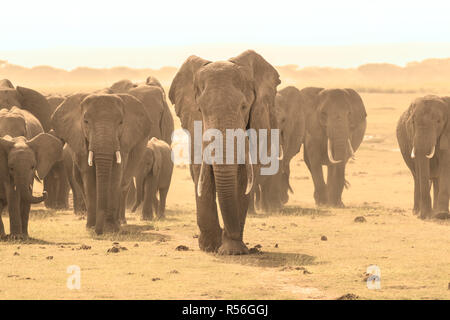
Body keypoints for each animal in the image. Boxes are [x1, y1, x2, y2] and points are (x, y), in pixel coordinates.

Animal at [0, 107, 63, 238]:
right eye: (11, 168)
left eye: (33, 167)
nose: (44, 192)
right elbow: (12, 192)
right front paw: (16, 237)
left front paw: (20, 237)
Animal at [50, 94, 149, 234]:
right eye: (86, 121)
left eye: (121, 122)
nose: (99, 231)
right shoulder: (81, 142)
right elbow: (89, 176)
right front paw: (91, 227)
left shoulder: (123, 142)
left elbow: (116, 174)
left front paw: (111, 229)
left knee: (123, 184)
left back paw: (119, 222)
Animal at [170, 50, 282, 255]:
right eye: (200, 110)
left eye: (244, 107)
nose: (226, 233)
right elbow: (201, 171)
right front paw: (210, 246)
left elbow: (244, 175)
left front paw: (232, 250)